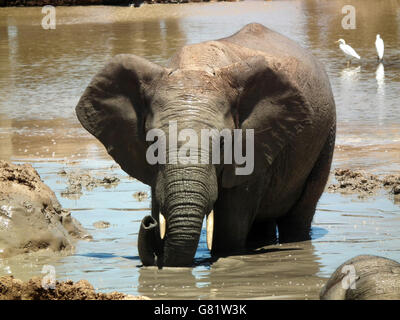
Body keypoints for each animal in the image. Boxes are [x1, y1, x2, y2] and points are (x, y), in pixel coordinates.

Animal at [75, 23, 334, 268]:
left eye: (222, 143)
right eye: (152, 143)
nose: (148, 222)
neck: (195, 66)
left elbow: (227, 230)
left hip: (326, 138)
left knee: (298, 216)